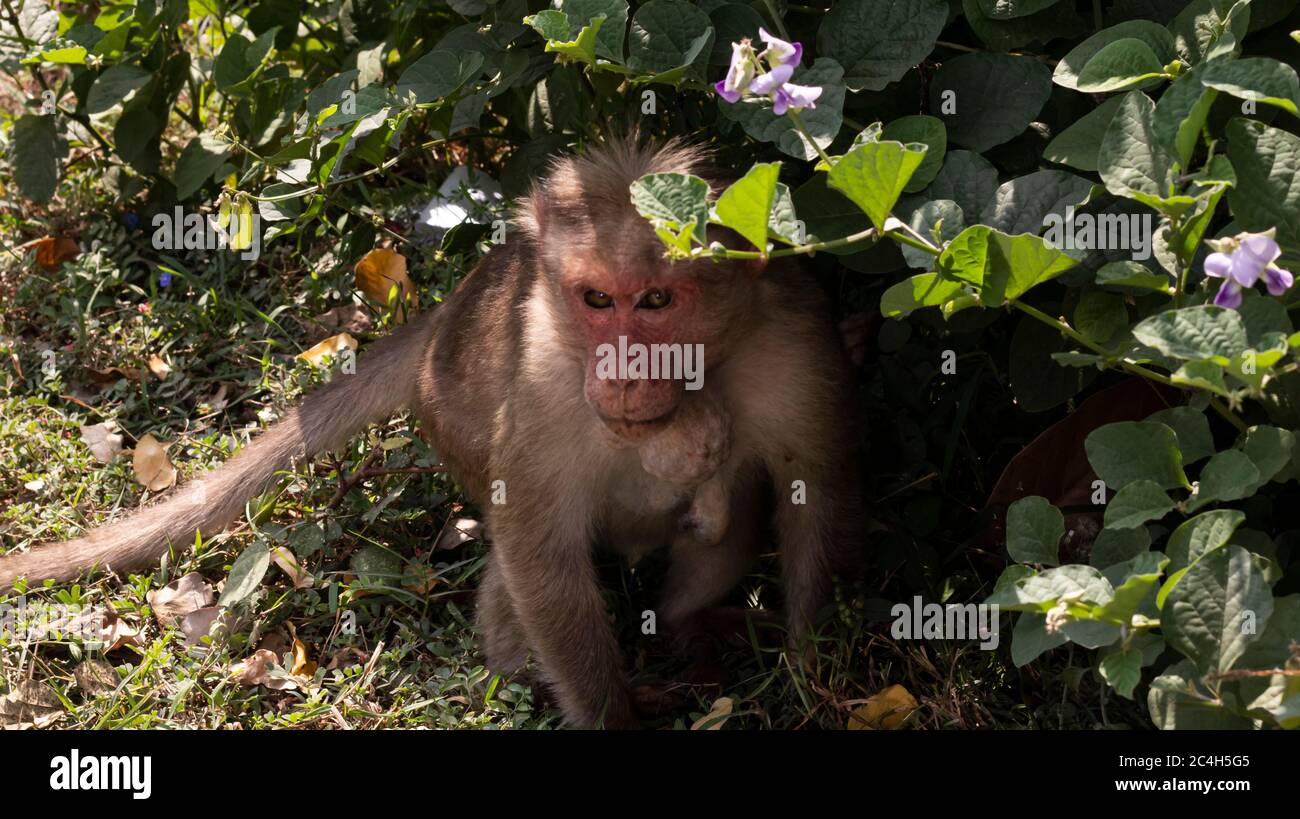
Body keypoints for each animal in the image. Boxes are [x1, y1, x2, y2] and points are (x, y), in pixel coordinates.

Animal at [0, 139, 863, 728]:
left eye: (655, 299)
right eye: (595, 299)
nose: (619, 372)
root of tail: (445, 317)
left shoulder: (793, 346)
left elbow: (813, 491)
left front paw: (810, 665)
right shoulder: (548, 378)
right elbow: (538, 543)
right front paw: (613, 716)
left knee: (730, 515)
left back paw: (688, 624)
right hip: (450, 421)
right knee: (517, 557)